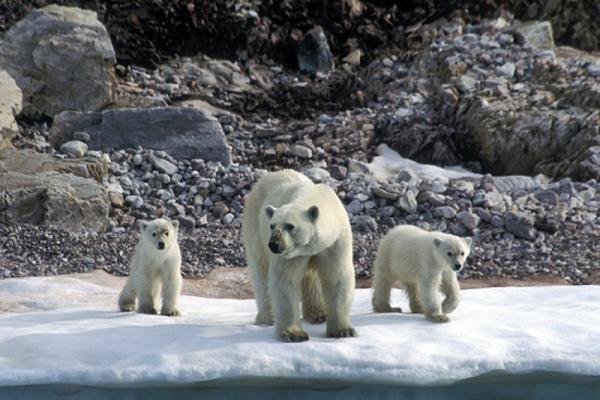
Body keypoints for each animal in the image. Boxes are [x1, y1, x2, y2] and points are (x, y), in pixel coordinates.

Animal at [243, 170, 356, 342]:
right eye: (272, 226)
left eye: (290, 226)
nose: (274, 244)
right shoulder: (290, 254)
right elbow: (285, 279)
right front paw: (294, 333)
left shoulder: (334, 243)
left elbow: (337, 276)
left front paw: (343, 331)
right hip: (255, 228)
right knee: (261, 272)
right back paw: (268, 317)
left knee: (311, 277)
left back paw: (318, 313)